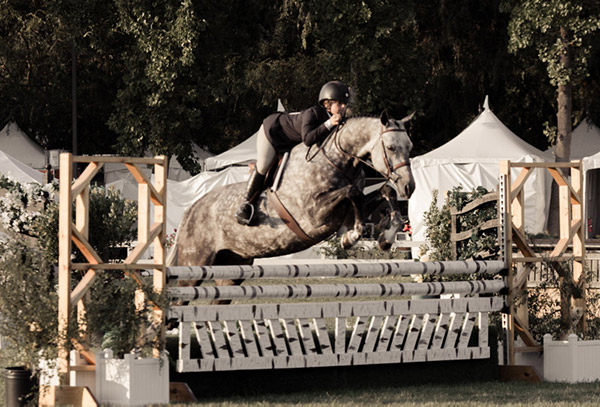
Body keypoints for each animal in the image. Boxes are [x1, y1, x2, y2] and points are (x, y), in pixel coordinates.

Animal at [168, 112, 412, 294]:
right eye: (391, 147)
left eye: (409, 145)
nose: (409, 187)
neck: (338, 159)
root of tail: (191, 210)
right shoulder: (313, 215)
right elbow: (352, 193)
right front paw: (350, 237)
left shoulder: (349, 208)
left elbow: (383, 192)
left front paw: (386, 237)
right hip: (195, 262)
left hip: (231, 268)